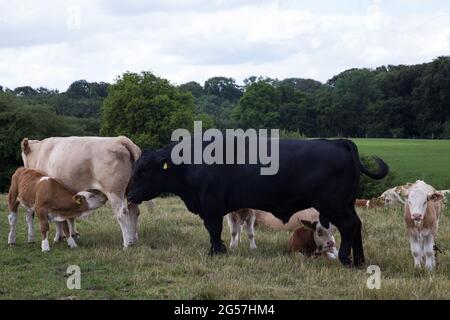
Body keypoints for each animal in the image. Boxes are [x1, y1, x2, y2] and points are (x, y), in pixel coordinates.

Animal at [128, 138, 388, 264]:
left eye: (145, 171)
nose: (129, 195)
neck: (191, 162)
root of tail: (339, 141)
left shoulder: (211, 204)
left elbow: (213, 228)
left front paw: (216, 251)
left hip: (333, 204)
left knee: (349, 226)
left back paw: (346, 259)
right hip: (345, 204)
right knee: (357, 225)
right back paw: (360, 260)